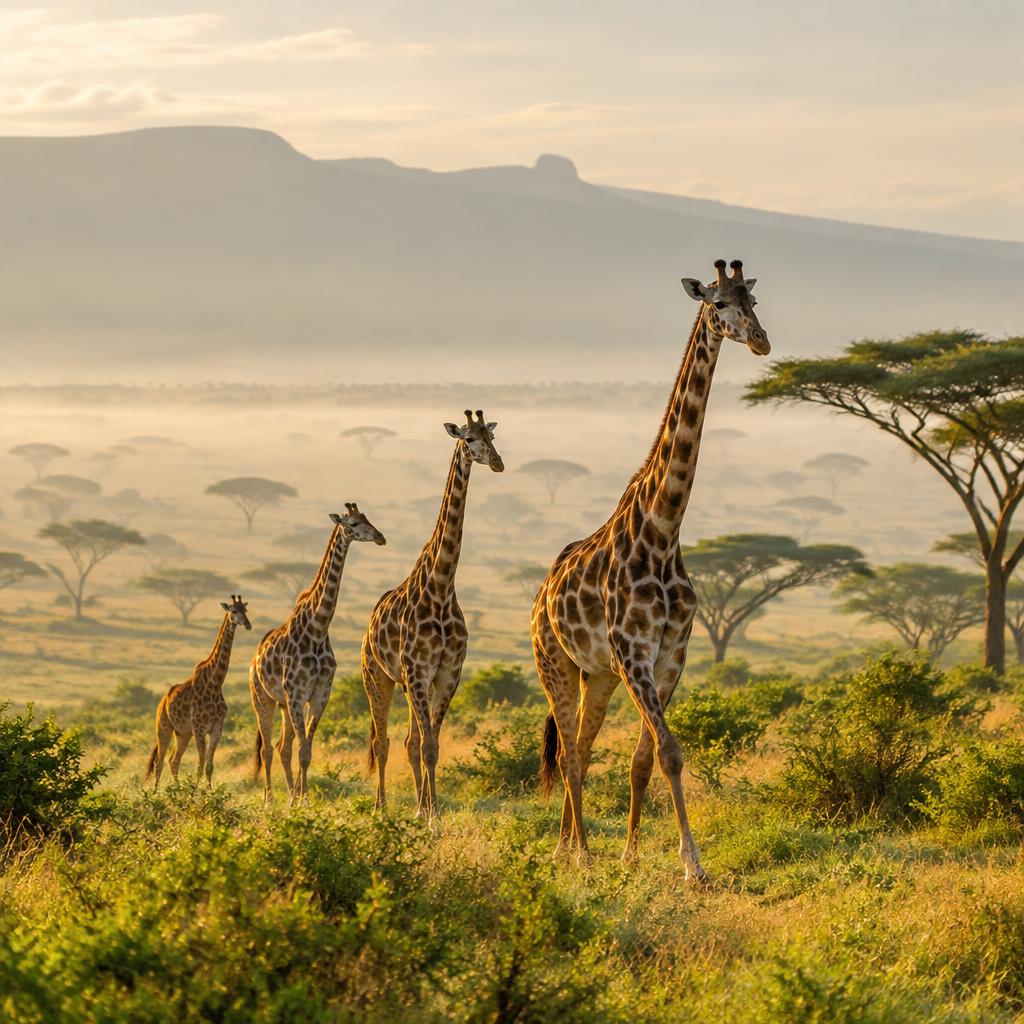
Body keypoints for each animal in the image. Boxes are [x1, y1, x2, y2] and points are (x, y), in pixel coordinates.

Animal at [145, 595, 253, 788]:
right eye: (234, 610)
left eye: (245, 610)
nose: (248, 624)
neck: (215, 683)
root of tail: (163, 701)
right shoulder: (199, 728)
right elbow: (200, 765)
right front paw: (196, 793)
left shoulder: (217, 727)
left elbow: (209, 766)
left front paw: (208, 792)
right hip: (164, 727)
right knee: (159, 762)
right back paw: (155, 792)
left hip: (182, 733)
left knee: (173, 760)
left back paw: (178, 790)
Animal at [250, 505, 385, 805]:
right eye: (354, 523)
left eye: (369, 518)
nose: (380, 537)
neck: (318, 626)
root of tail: (254, 658)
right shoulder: (297, 695)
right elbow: (303, 751)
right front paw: (302, 801)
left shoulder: (320, 694)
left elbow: (307, 751)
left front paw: (302, 799)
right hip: (262, 698)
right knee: (267, 748)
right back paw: (269, 800)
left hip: (284, 705)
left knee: (282, 747)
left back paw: (289, 795)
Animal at [361, 410, 503, 820]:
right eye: (468, 439)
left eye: (491, 436)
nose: (498, 463)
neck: (441, 586)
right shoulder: (419, 672)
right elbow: (425, 746)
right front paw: (430, 813)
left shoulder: (447, 674)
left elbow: (431, 746)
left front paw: (430, 810)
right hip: (378, 677)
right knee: (382, 741)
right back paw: (380, 807)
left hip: (408, 685)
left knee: (409, 740)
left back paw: (416, 804)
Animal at [531, 259, 771, 880]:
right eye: (718, 304)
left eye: (754, 300)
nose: (761, 340)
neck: (663, 530)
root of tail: (541, 596)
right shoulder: (633, 653)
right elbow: (668, 750)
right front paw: (692, 867)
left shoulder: (669, 655)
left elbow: (647, 758)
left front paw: (635, 853)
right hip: (555, 663)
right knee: (570, 752)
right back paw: (578, 852)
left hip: (598, 674)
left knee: (582, 747)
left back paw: (568, 846)